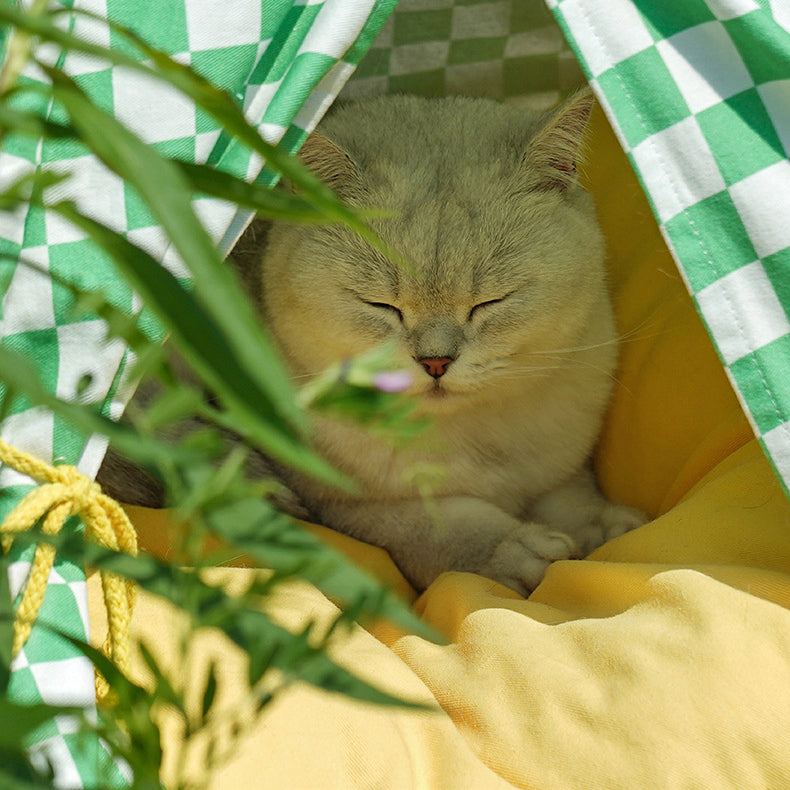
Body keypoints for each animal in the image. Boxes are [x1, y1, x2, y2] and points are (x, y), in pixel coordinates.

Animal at [99, 89, 648, 596]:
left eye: (490, 302)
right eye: (382, 306)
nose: (435, 362)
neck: (468, 438)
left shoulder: (557, 464)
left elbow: (572, 498)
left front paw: (607, 527)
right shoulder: (349, 505)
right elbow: (444, 525)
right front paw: (515, 552)